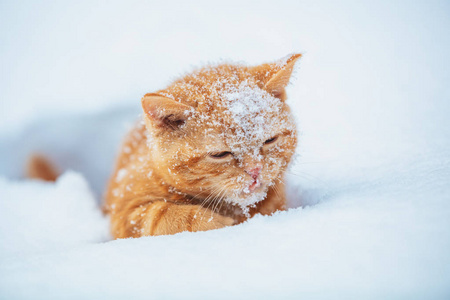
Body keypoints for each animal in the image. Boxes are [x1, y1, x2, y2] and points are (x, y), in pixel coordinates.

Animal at [104, 53, 302, 237]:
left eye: (270, 140)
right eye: (219, 154)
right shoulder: (126, 212)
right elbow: (161, 215)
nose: (255, 170)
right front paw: (217, 222)